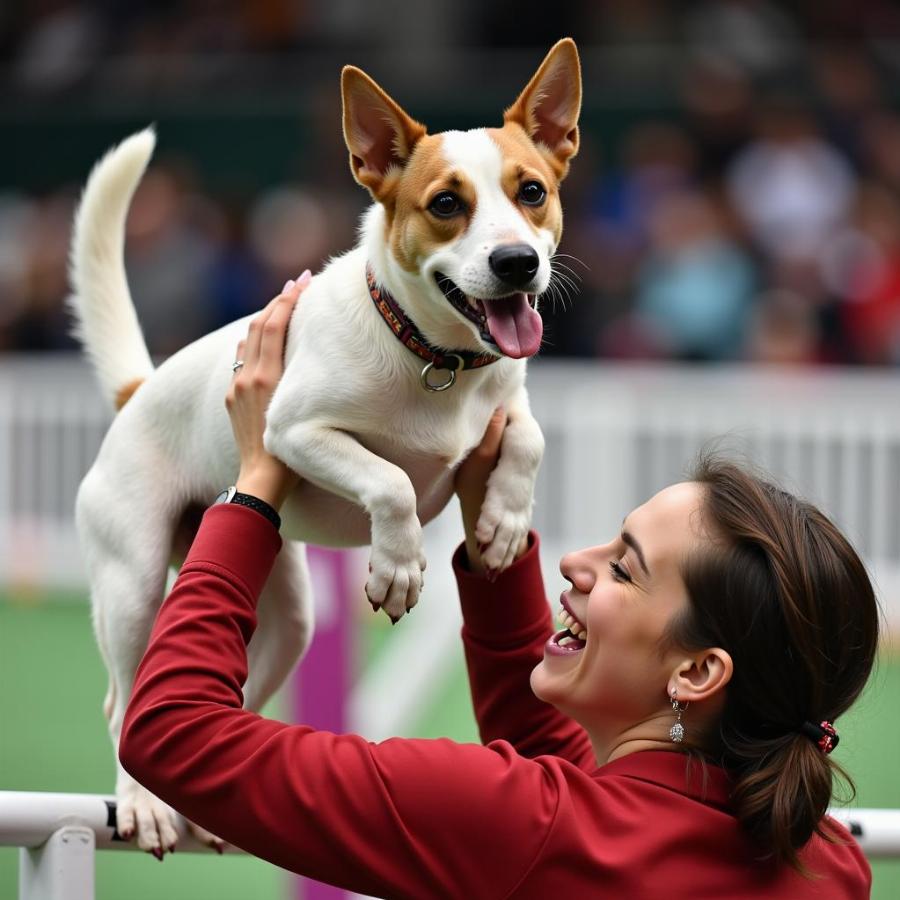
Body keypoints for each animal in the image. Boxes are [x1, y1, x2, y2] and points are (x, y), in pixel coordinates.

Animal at [68, 38, 584, 856]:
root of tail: (137, 392)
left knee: (233, 691)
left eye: (532, 191)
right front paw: (397, 569)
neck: (433, 361)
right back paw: (143, 801)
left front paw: (503, 523)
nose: (516, 264)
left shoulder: (507, 407)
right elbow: (390, 481)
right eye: (446, 205)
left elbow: (526, 439)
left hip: (290, 616)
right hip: (132, 580)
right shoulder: (293, 432)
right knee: (123, 702)